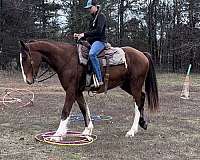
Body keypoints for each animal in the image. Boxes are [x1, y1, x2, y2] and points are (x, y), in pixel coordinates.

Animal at [19, 40, 159, 141]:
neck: (67, 59)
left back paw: (132, 131)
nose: (27, 80)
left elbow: (65, 111)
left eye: (25, 57)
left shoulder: (70, 90)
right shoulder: (77, 91)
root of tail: (142, 54)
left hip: (135, 84)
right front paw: (87, 131)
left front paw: (57, 135)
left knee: (137, 102)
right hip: (126, 85)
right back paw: (142, 123)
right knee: (142, 97)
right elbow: (83, 108)